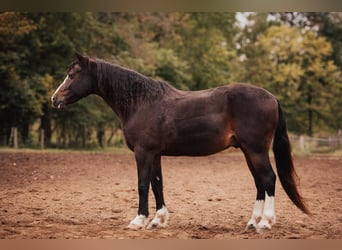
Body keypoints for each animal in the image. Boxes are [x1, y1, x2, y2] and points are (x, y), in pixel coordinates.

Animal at [50, 52, 310, 232]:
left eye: (72, 75)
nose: (54, 99)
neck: (141, 103)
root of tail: (272, 97)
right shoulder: (155, 154)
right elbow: (157, 185)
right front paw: (158, 220)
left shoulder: (143, 153)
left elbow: (142, 185)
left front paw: (139, 220)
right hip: (248, 151)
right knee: (259, 183)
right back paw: (252, 222)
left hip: (256, 151)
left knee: (269, 179)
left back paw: (265, 222)